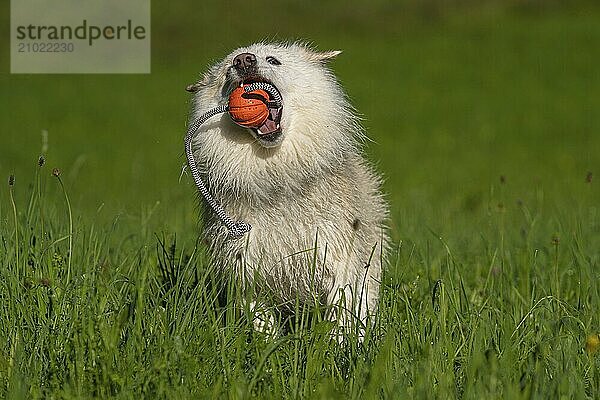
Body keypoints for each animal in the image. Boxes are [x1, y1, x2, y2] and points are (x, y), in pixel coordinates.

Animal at [186, 42, 390, 338]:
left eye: (273, 60)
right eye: (226, 72)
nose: (243, 61)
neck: (276, 175)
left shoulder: (337, 256)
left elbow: (343, 314)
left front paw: (340, 345)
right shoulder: (246, 266)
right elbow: (261, 323)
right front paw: (268, 347)